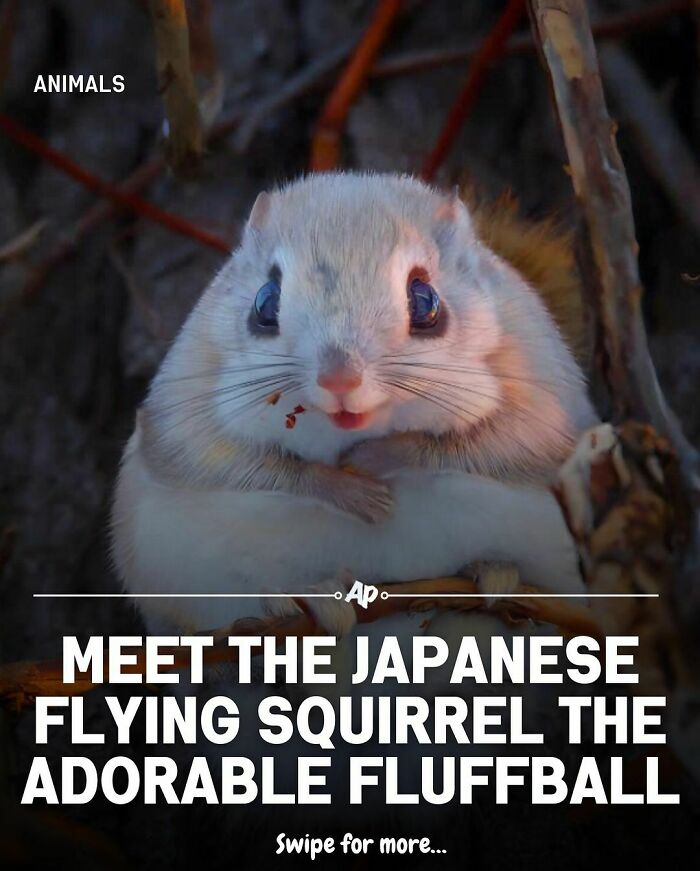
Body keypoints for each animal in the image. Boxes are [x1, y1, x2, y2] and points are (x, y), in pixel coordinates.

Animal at [111, 172, 596, 635]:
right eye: (264, 302)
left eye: (426, 300)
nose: (339, 378)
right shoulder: (184, 410)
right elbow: (242, 465)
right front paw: (350, 491)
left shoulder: (542, 400)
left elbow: (490, 447)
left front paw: (378, 458)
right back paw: (308, 600)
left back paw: (496, 575)